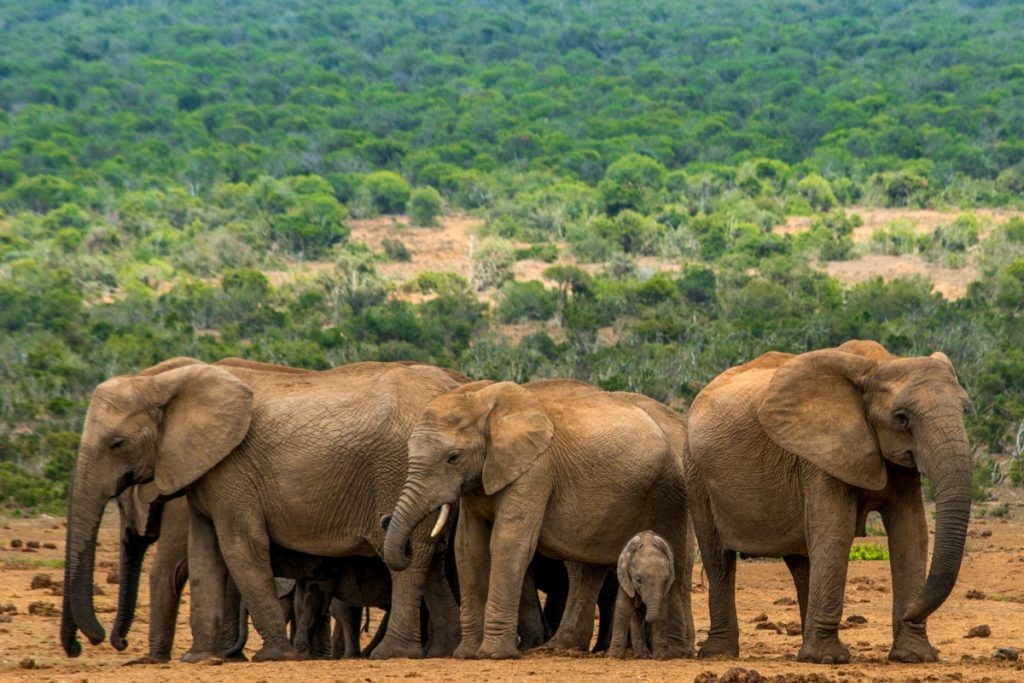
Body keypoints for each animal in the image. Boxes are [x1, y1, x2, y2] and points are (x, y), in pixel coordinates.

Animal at [58, 358, 466, 663]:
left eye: (117, 444)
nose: (87, 643)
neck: (162, 381)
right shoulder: (207, 472)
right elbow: (205, 552)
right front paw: (201, 659)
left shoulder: (233, 470)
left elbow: (239, 547)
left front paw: (273, 656)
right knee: (430, 558)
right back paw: (441, 651)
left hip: (400, 470)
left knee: (408, 560)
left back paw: (392, 654)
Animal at [380, 382, 692, 659]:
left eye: (453, 457)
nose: (385, 520)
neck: (484, 402)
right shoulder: (481, 478)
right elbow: (469, 548)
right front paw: (466, 654)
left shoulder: (534, 471)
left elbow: (508, 543)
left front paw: (494, 655)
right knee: (591, 568)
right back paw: (560, 647)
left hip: (669, 491)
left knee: (675, 558)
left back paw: (674, 653)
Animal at [684, 339, 970, 663]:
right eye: (902, 418)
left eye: (965, 410)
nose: (910, 613)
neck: (880, 364)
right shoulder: (819, 456)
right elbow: (836, 532)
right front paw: (827, 660)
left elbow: (910, 532)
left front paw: (914, 657)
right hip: (696, 473)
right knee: (718, 559)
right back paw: (720, 655)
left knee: (802, 559)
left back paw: (802, 649)